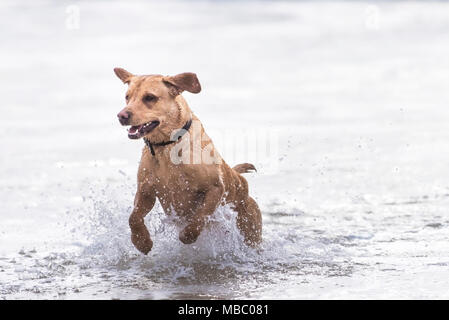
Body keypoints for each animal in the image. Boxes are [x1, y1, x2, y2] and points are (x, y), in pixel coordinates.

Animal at [114, 69, 262, 254]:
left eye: (149, 97)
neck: (166, 147)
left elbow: (201, 215)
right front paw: (142, 242)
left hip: (250, 229)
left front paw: (188, 235)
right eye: (127, 97)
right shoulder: (146, 190)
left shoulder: (215, 188)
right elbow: (133, 217)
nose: (122, 115)